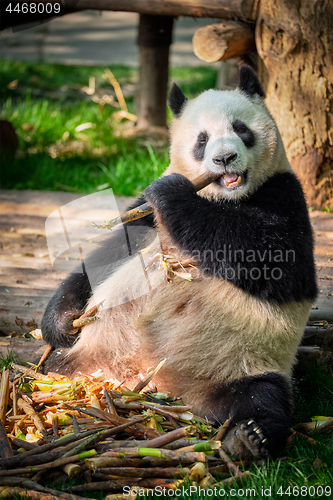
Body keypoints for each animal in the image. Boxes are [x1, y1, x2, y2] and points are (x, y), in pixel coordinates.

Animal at [42, 67, 316, 460]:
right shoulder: (143, 214)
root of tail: (157, 386)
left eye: (241, 129)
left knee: (264, 397)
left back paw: (248, 437)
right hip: (83, 360)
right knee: (53, 365)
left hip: (244, 362)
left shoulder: (284, 194)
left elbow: (276, 260)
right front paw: (62, 321)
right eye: (202, 140)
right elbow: (105, 255)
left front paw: (174, 194)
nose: (224, 159)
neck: (223, 196)